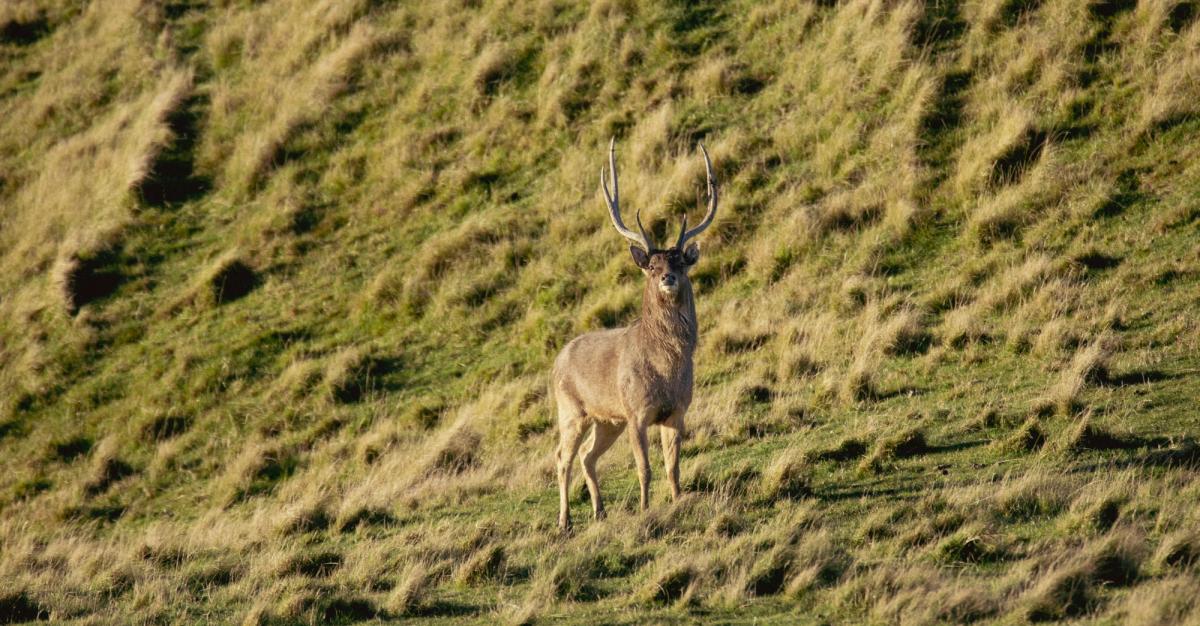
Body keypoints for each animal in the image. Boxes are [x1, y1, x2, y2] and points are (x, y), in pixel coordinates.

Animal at [552, 137, 719, 532]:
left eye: (680, 262)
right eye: (652, 265)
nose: (667, 277)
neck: (666, 369)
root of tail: (555, 362)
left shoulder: (677, 410)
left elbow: (673, 467)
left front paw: (677, 501)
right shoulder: (636, 411)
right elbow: (644, 468)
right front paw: (645, 509)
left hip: (606, 419)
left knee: (587, 456)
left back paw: (599, 511)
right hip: (571, 409)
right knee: (562, 457)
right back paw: (564, 521)